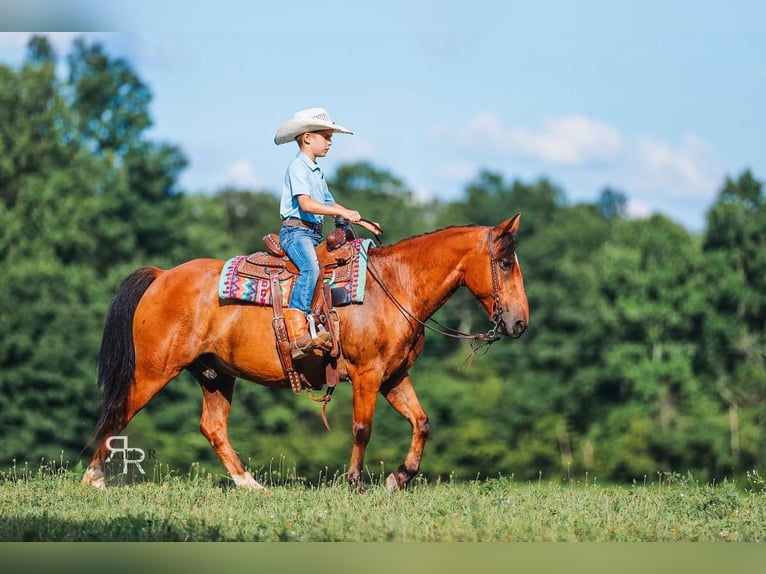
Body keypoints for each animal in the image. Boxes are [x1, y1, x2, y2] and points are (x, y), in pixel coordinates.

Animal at [81, 214, 529, 492]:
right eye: (506, 263)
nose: (519, 323)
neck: (394, 287)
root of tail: (161, 276)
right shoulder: (368, 374)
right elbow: (362, 428)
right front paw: (356, 481)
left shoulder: (394, 377)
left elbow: (421, 423)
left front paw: (400, 478)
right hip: (153, 371)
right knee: (118, 413)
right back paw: (94, 479)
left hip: (215, 374)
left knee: (213, 428)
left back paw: (251, 485)